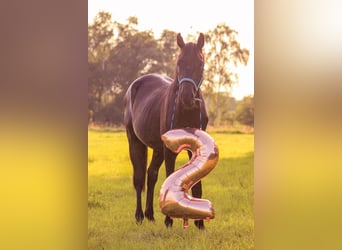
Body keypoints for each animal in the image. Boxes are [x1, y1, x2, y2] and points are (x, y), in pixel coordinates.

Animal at [123, 32, 208, 229]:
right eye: (179, 62)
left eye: (200, 63)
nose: (186, 97)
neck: (187, 111)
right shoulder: (169, 150)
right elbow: (169, 176)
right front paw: (169, 221)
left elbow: (197, 184)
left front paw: (200, 224)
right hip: (135, 142)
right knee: (139, 178)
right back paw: (139, 216)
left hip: (157, 148)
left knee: (151, 174)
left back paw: (150, 215)